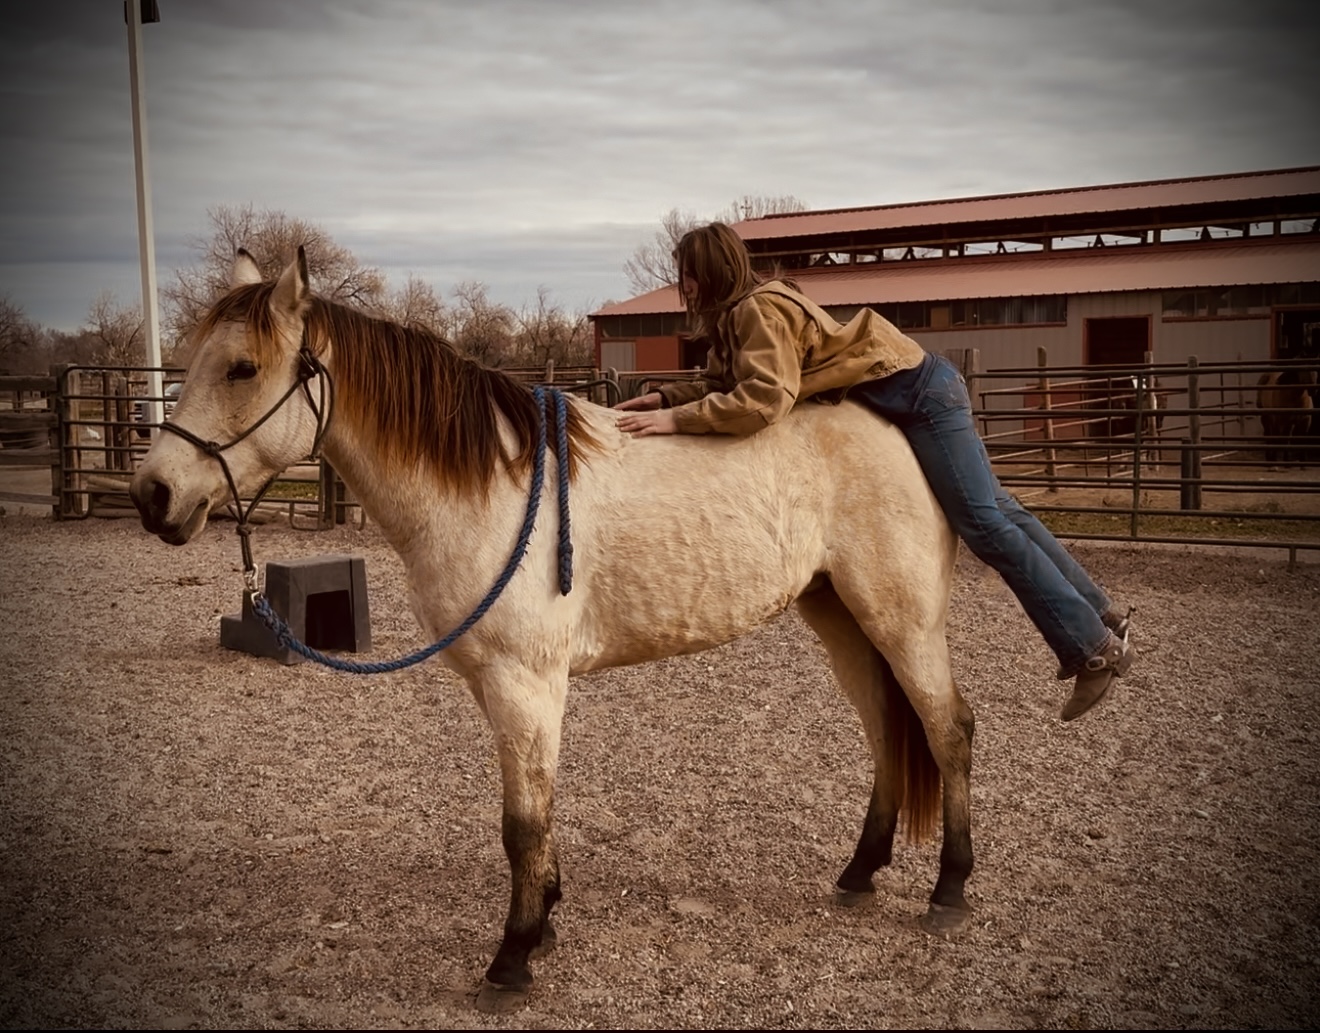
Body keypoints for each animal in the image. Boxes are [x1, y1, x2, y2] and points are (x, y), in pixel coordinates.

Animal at [129, 248, 974, 1011]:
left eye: (241, 368)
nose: (152, 494)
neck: (492, 485)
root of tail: (895, 427)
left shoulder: (524, 680)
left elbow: (521, 821)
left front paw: (513, 956)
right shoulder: (499, 683)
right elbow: (538, 808)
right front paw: (549, 915)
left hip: (900, 618)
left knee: (947, 728)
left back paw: (951, 888)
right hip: (841, 617)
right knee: (886, 730)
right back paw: (860, 872)